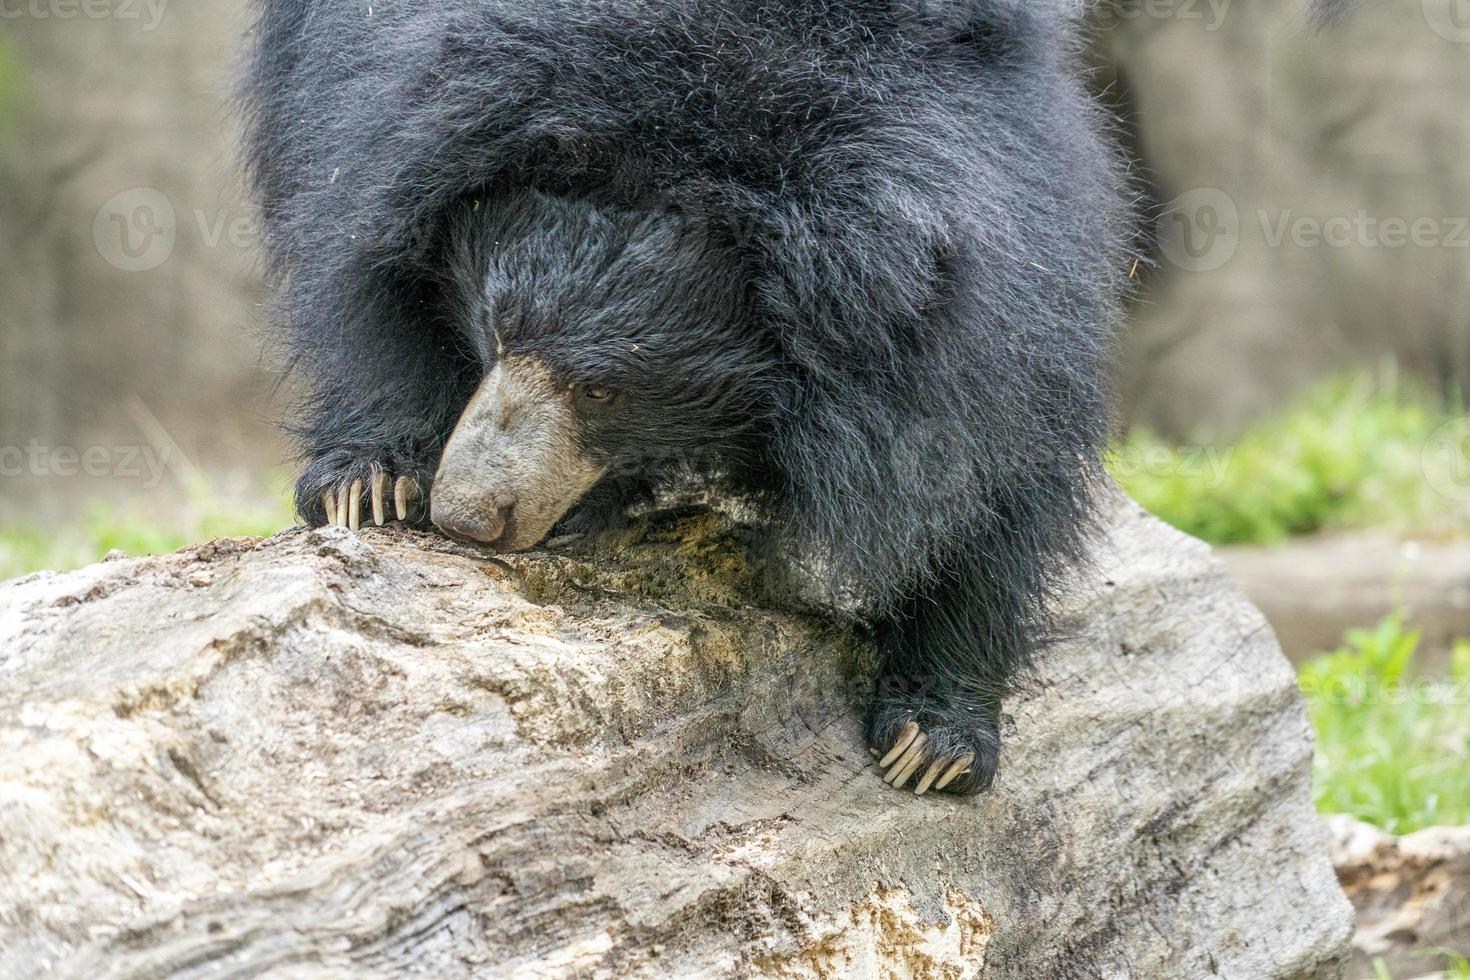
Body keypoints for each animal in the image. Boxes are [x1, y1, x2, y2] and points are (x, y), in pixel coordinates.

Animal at [246, 0, 1128, 799]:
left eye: (603, 389)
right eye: (494, 334)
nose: (466, 519)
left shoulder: (1003, 255)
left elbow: (988, 473)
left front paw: (933, 745)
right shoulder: (395, 115)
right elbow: (364, 278)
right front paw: (370, 485)